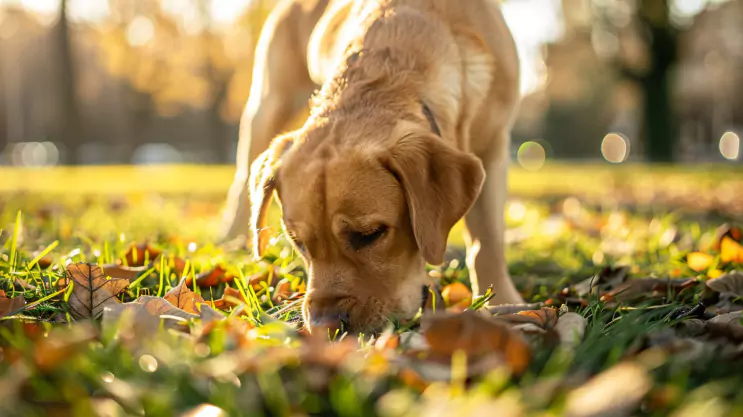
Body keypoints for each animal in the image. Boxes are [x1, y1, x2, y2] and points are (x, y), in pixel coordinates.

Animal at [221, 0, 524, 334]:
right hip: (268, 102)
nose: (326, 326)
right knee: (242, 181)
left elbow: (487, 242)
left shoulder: (495, 144)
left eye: (371, 234)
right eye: (298, 242)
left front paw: (503, 303)